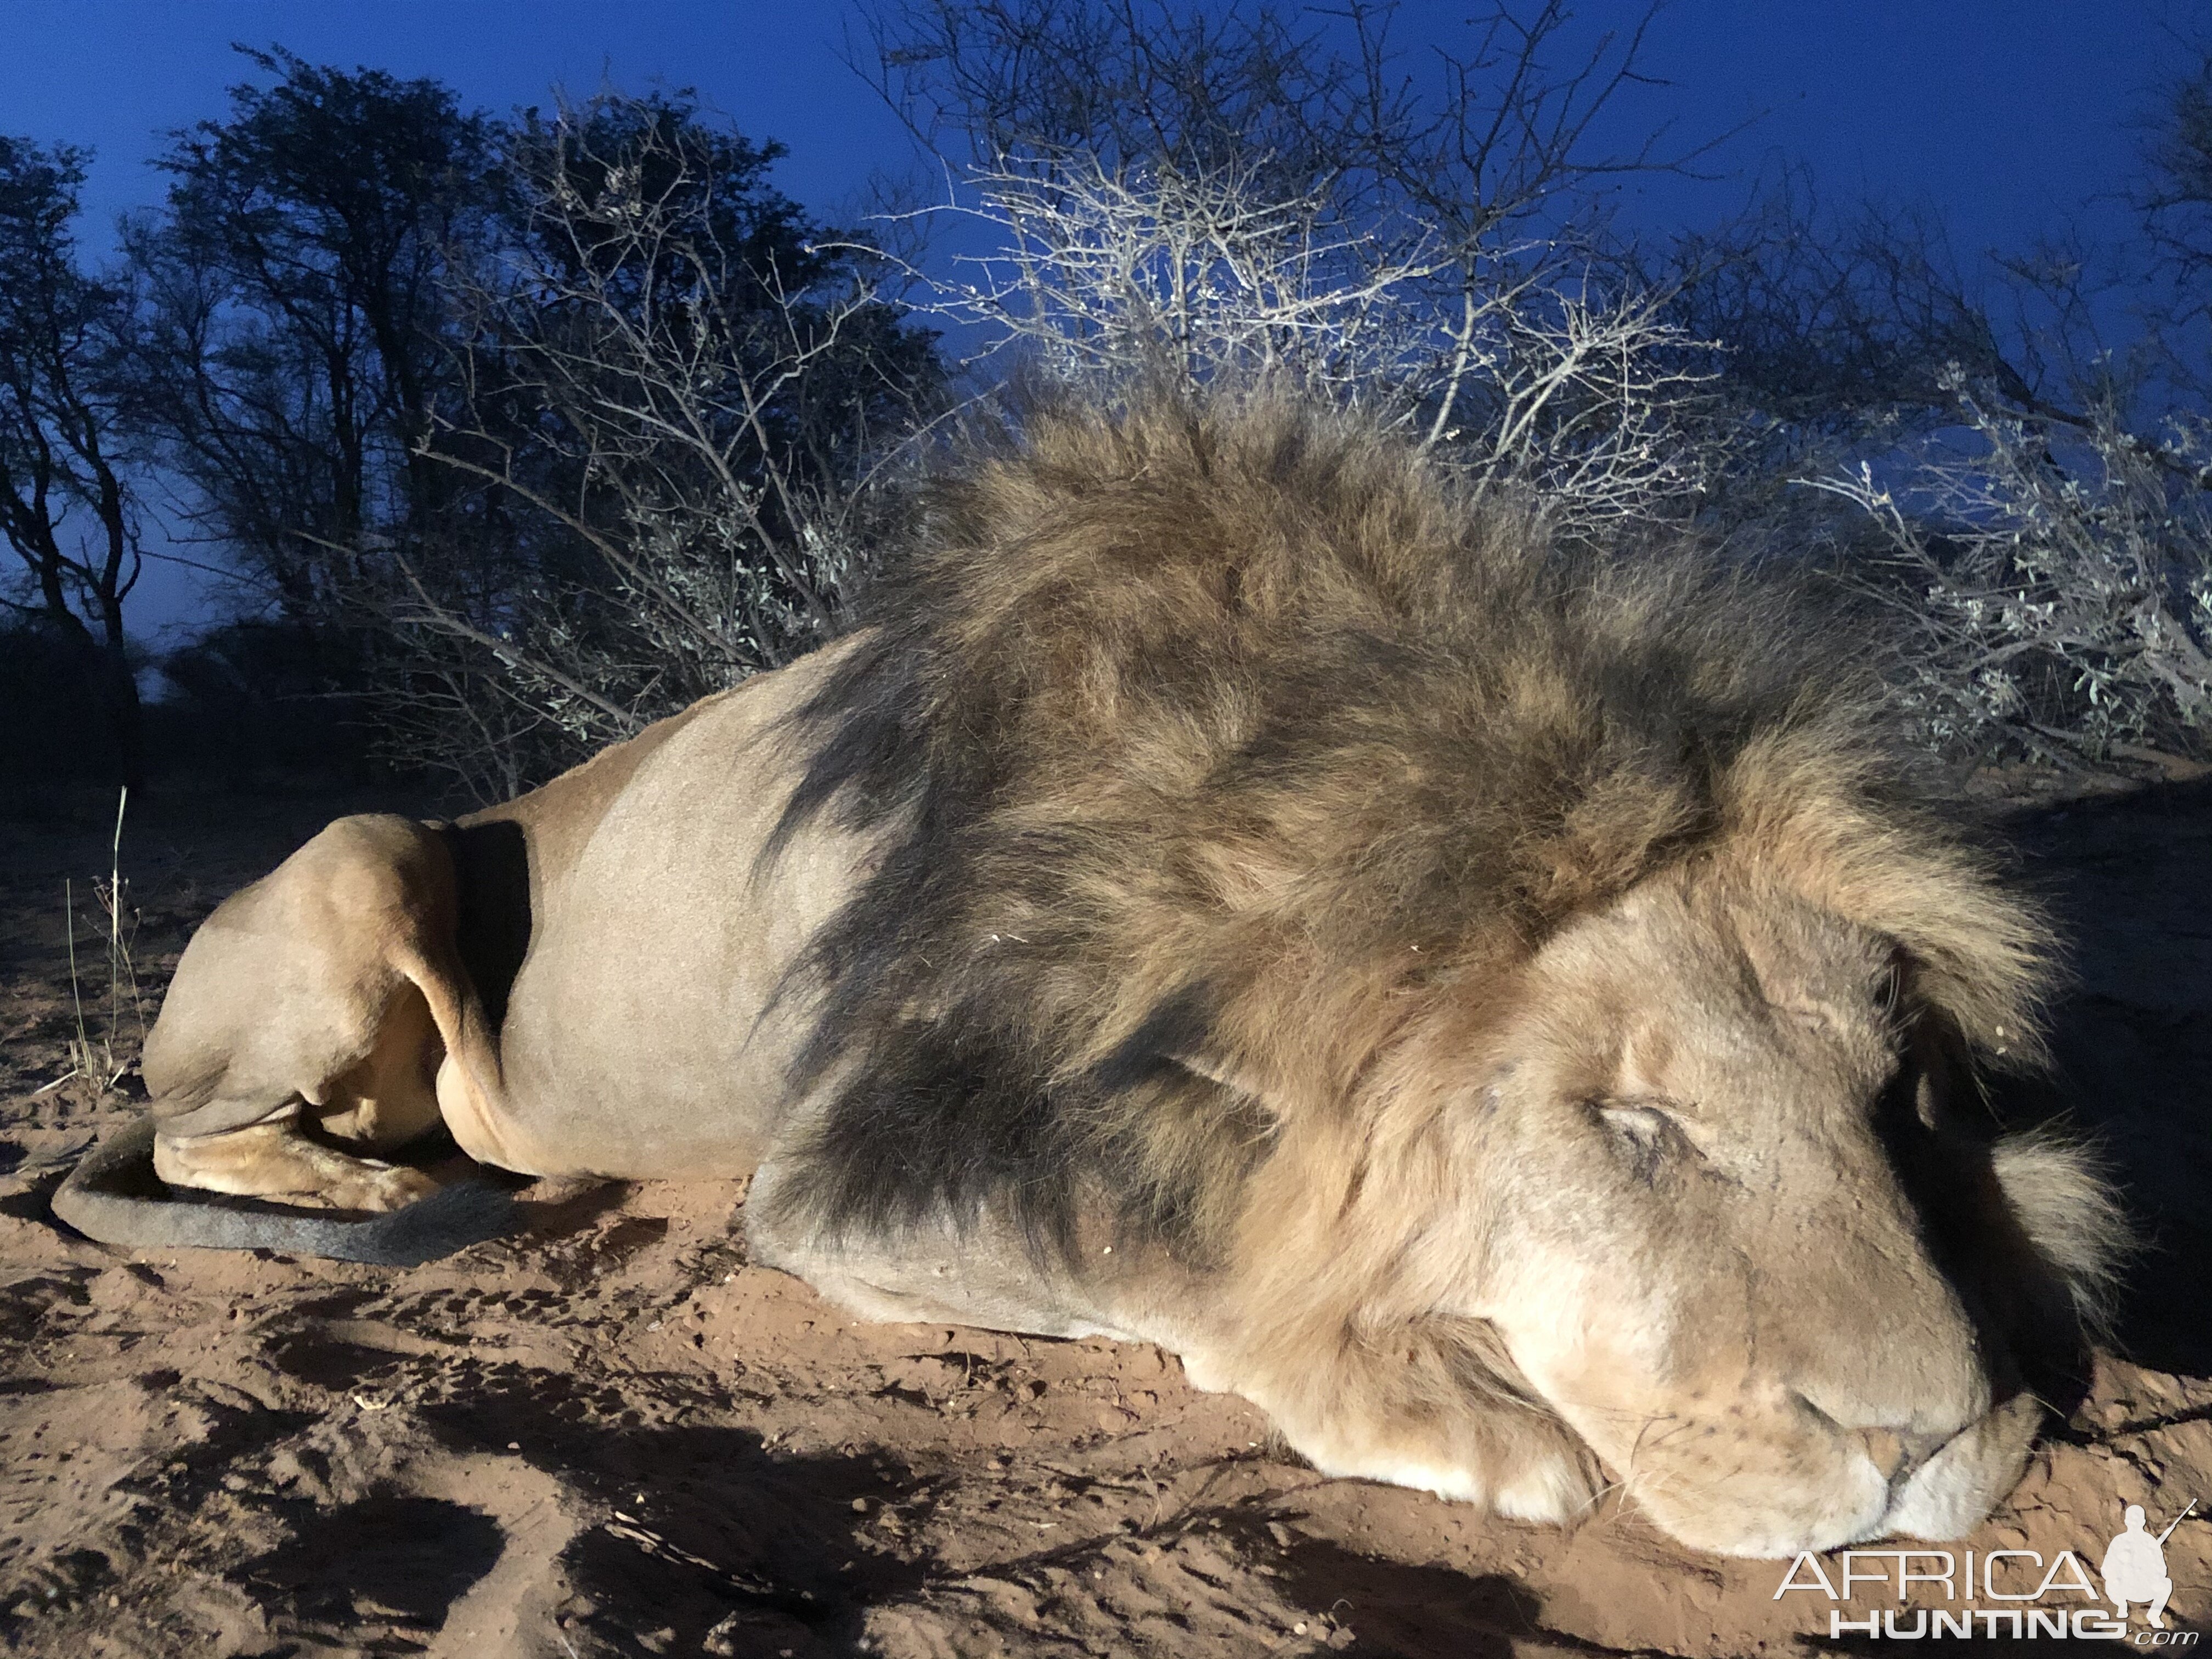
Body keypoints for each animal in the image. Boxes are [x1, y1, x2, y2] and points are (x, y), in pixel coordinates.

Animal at [52, 389, 2123, 1557]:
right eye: (1627, 1123)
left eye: (1903, 1100)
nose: (1941, 1449)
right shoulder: (834, 1182)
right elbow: (1162, 1249)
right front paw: (1446, 1407)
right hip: (367, 847)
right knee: (197, 1131)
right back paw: (352, 1183)